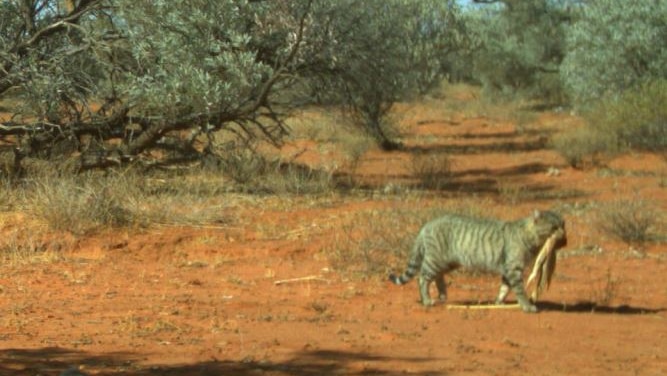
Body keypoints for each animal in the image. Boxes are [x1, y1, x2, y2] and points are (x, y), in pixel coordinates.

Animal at [388, 210, 568, 312]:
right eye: (554, 227)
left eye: (564, 226)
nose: (565, 239)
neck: (529, 236)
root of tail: (427, 224)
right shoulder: (513, 268)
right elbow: (519, 290)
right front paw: (527, 306)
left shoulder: (507, 270)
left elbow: (504, 288)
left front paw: (498, 302)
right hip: (435, 260)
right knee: (422, 278)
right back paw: (427, 300)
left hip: (447, 262)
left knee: (437, 277)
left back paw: (443, 295)